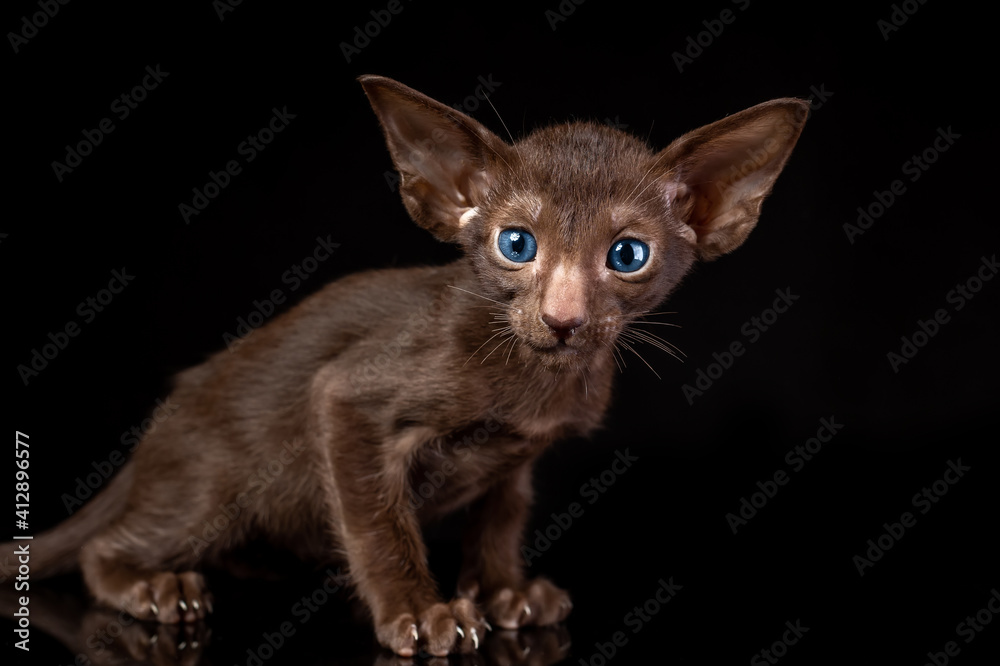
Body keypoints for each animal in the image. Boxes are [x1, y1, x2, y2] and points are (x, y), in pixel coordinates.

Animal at [3, 76, 808, 652]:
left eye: (628, 255)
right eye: (517, 245)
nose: (563, 319)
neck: (533, 378)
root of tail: (160, 427)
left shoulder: (515, 458)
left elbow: (501, 520)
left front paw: (506, 593)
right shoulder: (349, 400)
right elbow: (378, 524)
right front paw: (419, 612)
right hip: (214, 489)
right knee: (105, 546)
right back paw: (152, 587)